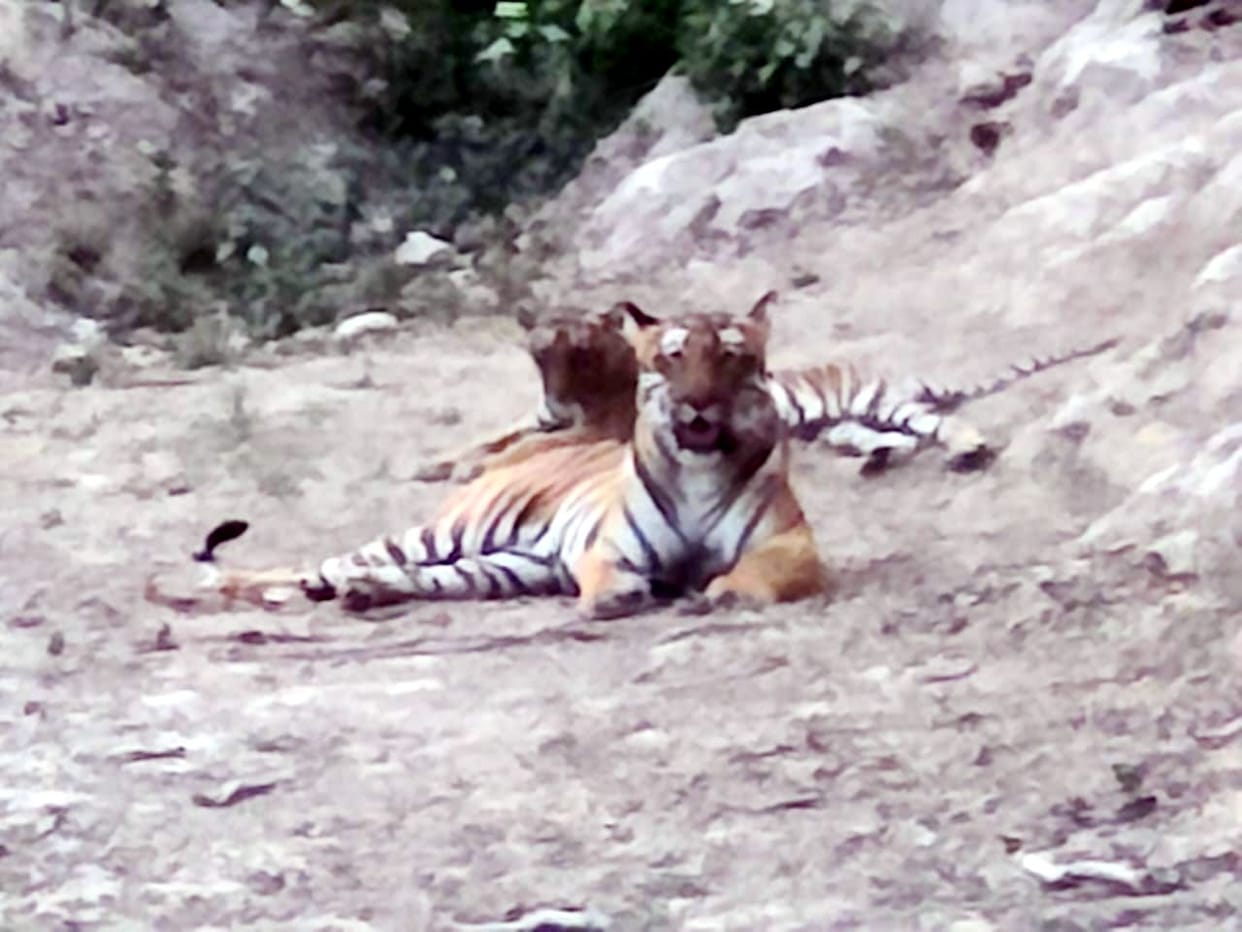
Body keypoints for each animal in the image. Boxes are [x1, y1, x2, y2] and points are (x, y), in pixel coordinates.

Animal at [183, 292, 827, 620]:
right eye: (673, 357)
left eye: (730, 356)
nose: (699, 404)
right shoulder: (606, 543)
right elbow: (607, 570)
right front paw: (617, 595)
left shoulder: (793, 543)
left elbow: (760, 569)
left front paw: (730, 590)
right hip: (442, 534)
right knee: (315, 566)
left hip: (501, 567)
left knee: (405, 576)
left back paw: (366, 591)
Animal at [417, 299, 1118, 482]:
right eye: (542, 355)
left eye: (579, 354)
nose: (560, 396)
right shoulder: (540, 416)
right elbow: (495, 436)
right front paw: (436, 463)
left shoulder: (595, 428)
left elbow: (519, 451)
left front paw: (468, 471)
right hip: (836, 426)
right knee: (891, 440)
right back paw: (875, 463)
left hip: (878, 402)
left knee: (935, 424)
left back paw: (968, 449)